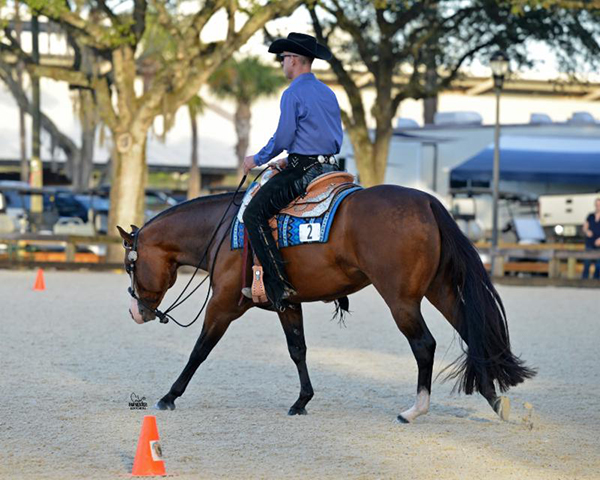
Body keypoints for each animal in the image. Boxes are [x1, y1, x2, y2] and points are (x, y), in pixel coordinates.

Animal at [117, 185, 536, 424]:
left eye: (130, 265)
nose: (136, 312)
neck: (224, 232)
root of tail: (429, 201)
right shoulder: (287, 303)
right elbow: (297, 349)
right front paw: (302, 400)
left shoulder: (223, 304)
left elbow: (199, 350)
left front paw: (169, 396)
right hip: (441, 289)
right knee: (473, 334)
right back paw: (494, 400)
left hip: (401, 299)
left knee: (424, 345)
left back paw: (415, 409)